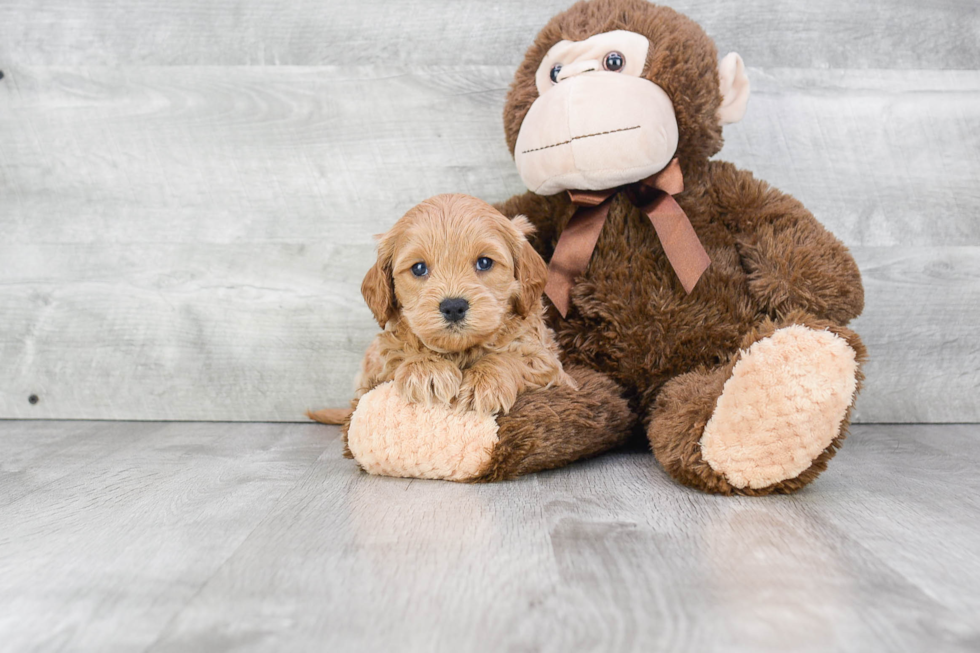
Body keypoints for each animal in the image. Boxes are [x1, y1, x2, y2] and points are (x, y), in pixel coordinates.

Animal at [354, 192, 576, 412]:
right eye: (418, 268)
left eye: (484, 262)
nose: (453, 307)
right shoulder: (374, 374)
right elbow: (399, 355)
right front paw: (427, 369)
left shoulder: (548, 363)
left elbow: (513, 357)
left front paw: (486, 382)